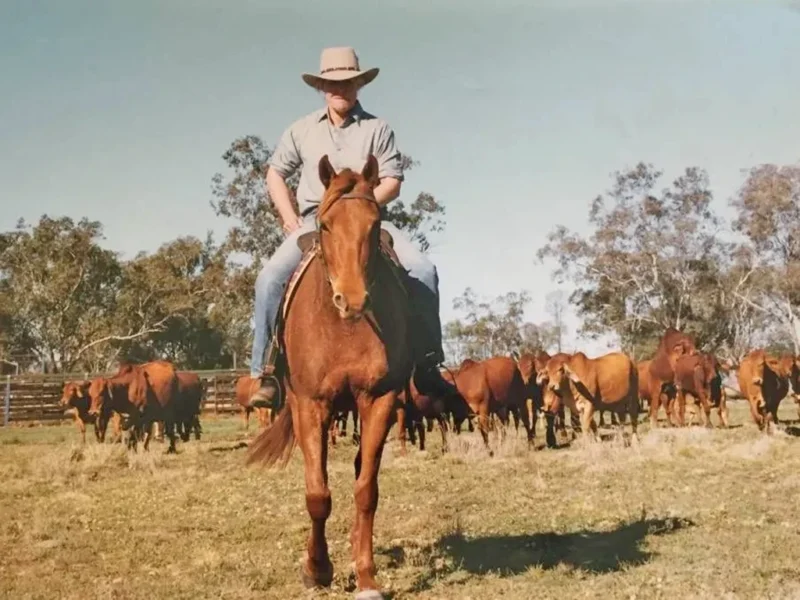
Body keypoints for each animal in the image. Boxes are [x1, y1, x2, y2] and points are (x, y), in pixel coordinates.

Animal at [247, 154, 413, 599]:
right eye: (324, 225)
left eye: (374, 224)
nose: (351, 300)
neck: (343, 328)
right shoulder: (310, 405)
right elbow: (317, 493)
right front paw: (318, 569)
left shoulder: (379, 401)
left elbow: (366, 490)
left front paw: (366, 575)